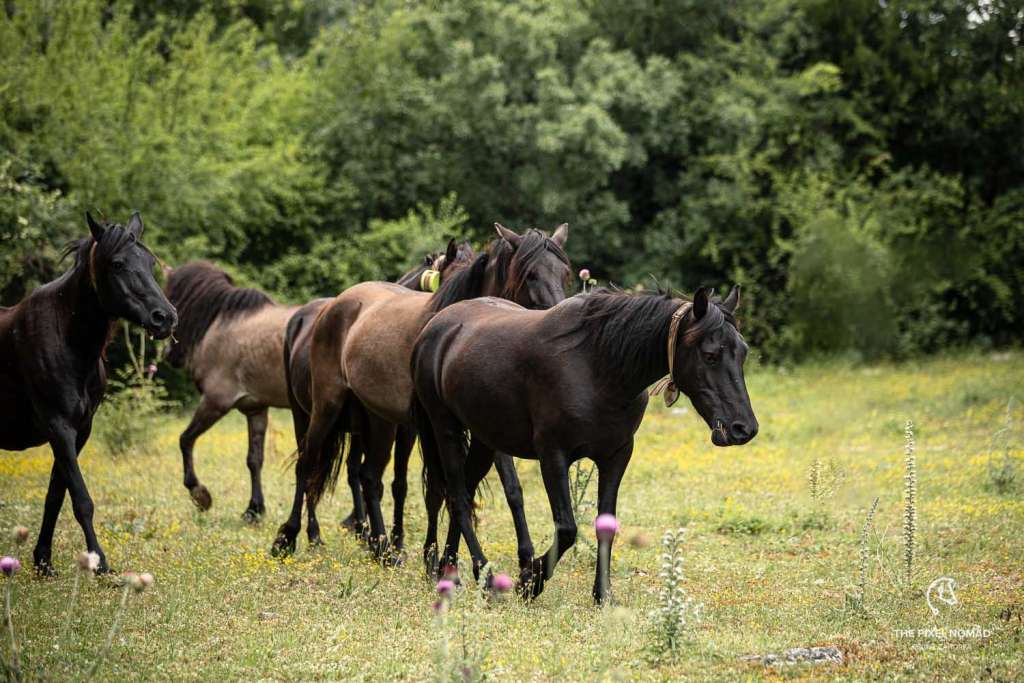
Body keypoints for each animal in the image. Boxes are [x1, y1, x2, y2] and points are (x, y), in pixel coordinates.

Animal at [0, 214, 176, 577]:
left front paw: (43, 561)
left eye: (150, 263)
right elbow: (81, 499)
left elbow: (56, 494)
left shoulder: (79, 430)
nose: (164, 317)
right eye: (118, 263)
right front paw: (100, 563)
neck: (67, 340)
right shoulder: (59, 428)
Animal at [284, 225, 573, 565]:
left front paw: (525, 557)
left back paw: (380, 547)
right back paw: (290, 538)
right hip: (325, 408)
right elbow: (437, 488)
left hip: (376, 419)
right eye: (529, 275)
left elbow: (510, 489)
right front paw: (433, 556)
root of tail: (335, 305)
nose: (556, 319)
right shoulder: (430, 425)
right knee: (308, 464)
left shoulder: (484, 427)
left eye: (565, 273)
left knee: (366, 475)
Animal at [411, 286, 757, 602]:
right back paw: (483, 578)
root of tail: (435, 326)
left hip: (485, 440)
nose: (744, 428)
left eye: (743, 352)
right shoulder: (553, 456)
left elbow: (606, 527)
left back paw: (450, 571)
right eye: (710, 355)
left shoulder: (617, 456)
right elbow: (567, 529)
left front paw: (602, 595)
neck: (596, 367)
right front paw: (529, 581)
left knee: (464, 494)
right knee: (457, 497)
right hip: (445, 428)